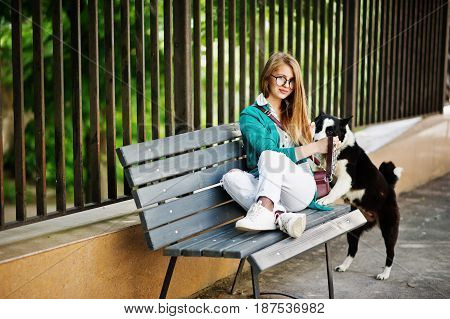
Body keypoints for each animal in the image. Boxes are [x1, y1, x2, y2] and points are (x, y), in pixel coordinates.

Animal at [312, 112, 404, 280]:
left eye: (330, 131)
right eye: (318, 127)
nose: (315, 141)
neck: (340, 150)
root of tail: (390, 188)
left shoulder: (346, 179)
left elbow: (334, 191)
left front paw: (324, 200)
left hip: (389, 228)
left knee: (391, 252)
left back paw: (385, 273)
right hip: (354, 230)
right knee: (353, 249)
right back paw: (343, 266)